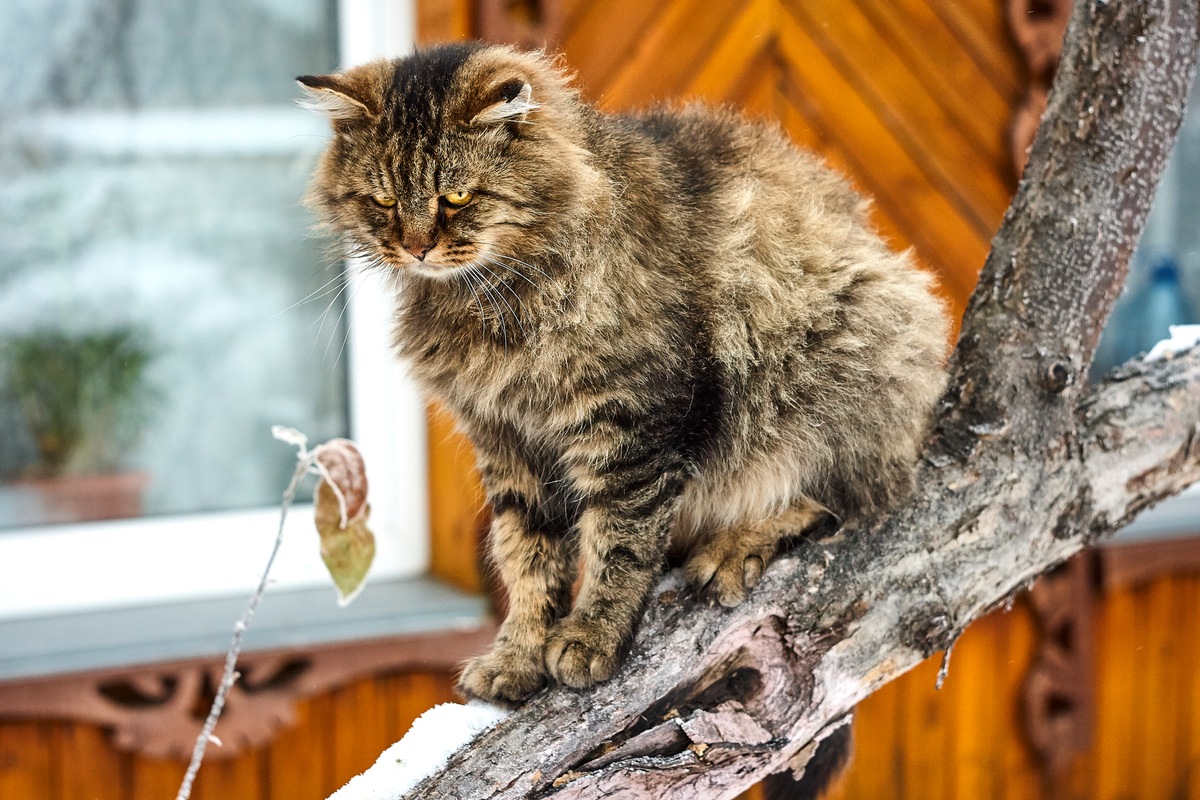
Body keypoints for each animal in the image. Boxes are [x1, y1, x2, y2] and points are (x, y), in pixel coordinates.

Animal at [297, 42, 945, 705]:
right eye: (383, 202)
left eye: (456, 199)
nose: (416, 247)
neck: (488, 304)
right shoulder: (508, 440)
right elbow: (526, 559)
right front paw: (517, 656)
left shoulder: (633, 420)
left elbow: (620, 543)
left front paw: (591, 637)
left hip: (835, 355)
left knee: (840, 494)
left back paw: (734, 546)